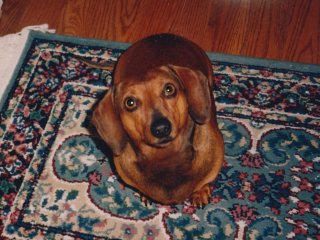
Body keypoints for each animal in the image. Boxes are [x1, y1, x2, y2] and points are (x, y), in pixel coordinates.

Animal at [91, 33, 224, 206]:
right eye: (130, 102)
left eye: (169, 89)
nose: (161, 128)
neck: (167, 158)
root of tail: (162, 36)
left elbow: (204, 181)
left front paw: (201, 191)